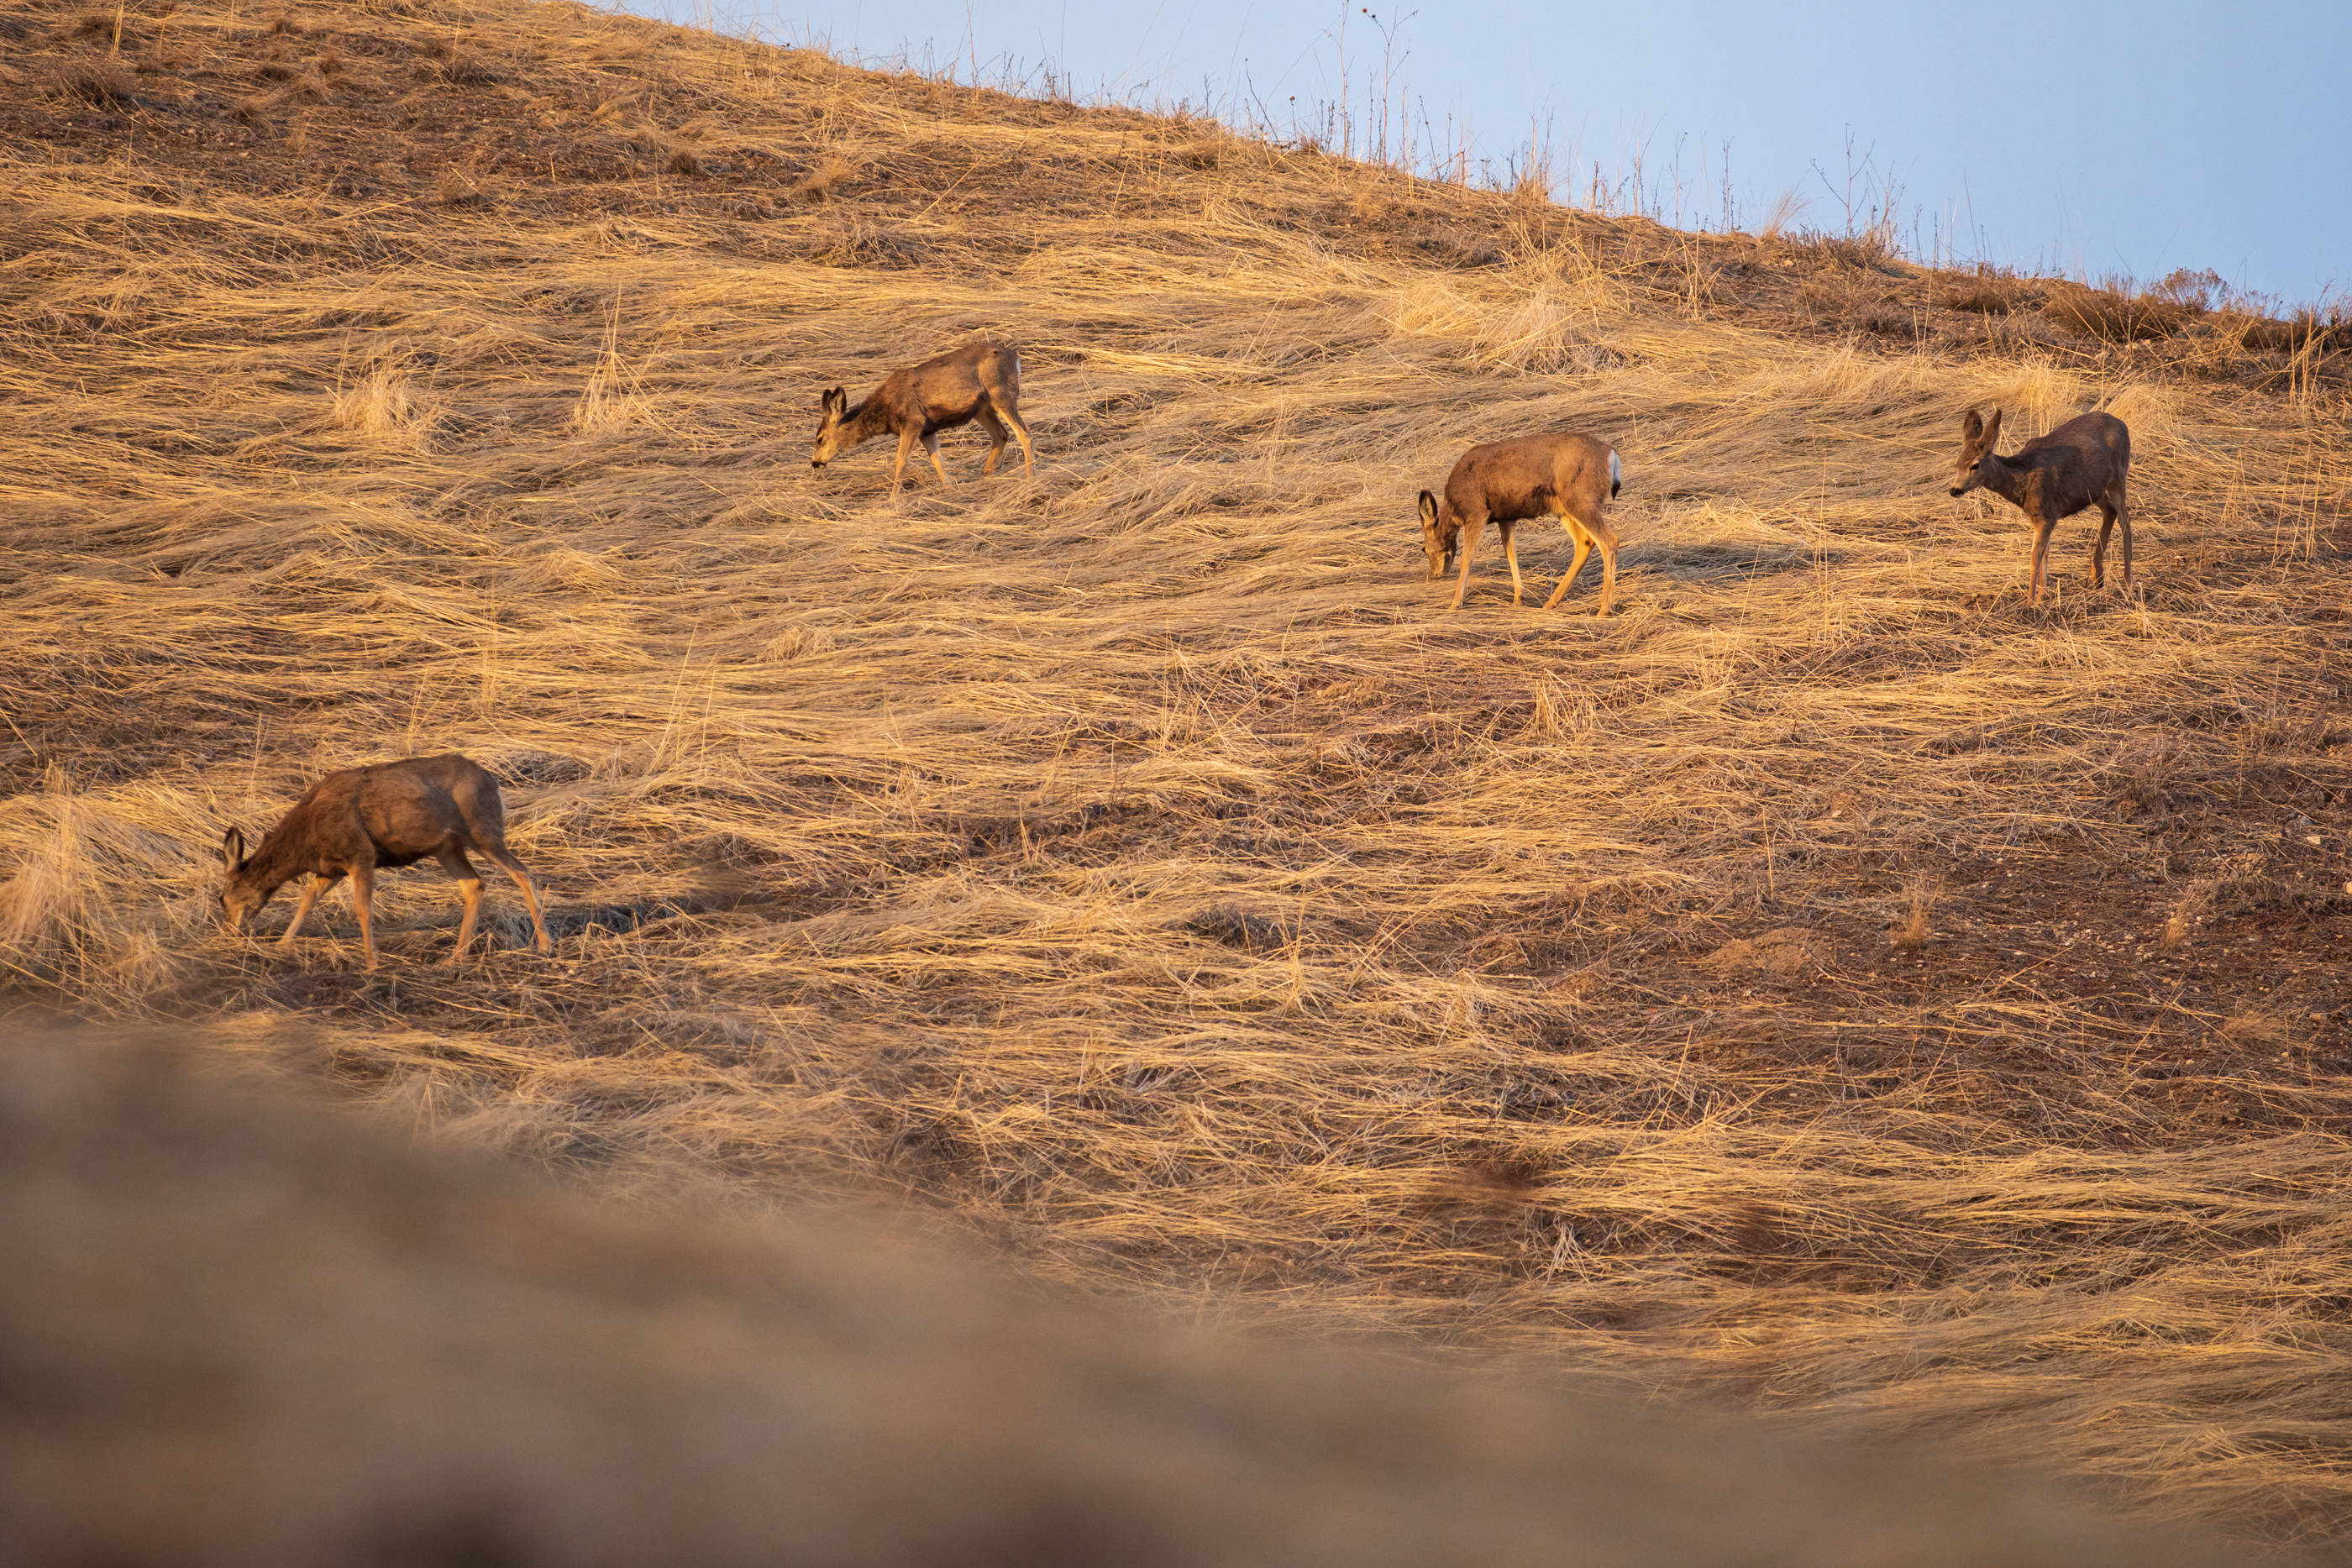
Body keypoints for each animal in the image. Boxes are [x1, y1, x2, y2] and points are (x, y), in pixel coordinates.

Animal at [217, 753, 552, 970]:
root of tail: (493, 782)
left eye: (221, 898)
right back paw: (455, 957)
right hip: (446, 848)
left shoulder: (360, 854)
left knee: (521, 871)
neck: (305, 838)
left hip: (482, 830)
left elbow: (363, 910)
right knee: (474, 884)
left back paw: (544, 944)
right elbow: (307, 901)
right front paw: (282, 945)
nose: (229, 930)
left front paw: (371, 962)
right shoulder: (330, 868)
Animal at [810, 341, 1036, 495]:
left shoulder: (913, 420)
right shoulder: (927, 429)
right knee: (1001, 435)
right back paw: (984, 476)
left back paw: (1030, 478)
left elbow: (901, 460)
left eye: (820, 438)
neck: (887, 410)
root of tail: (1016, 357)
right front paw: (949, 489)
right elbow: (937, 460)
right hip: (981, 407)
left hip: (999, 391)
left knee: (1023, 432)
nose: (815, 462)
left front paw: (893, 498)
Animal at [1419, 433, 1624, 615]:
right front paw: (1519, 598)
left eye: (1425, 549)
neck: (1454, 507)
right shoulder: (1506, 517)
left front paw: (1455, 603)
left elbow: (1467, 558)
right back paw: (1551, 603)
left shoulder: (1477, 512)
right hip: (1563, 509)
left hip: (1581, 500)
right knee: (1585, 543)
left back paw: (1605, 609)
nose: (1435, 574)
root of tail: (1612, 455)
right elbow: (1510, 553)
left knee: (1609, 540)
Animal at [1947, 407, 2132, 605]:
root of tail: (2122, 424)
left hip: (2118, 474)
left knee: (2125, 521)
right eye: (1956, 464)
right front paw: (2042, 598)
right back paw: (2097, 576)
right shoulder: (2043, 516)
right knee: (2110, 511)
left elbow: (2034, 559)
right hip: (2093, 489)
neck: (2022, 479)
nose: (1955, 490)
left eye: (1975, 465)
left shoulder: (2044, 517)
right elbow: (2045, 555)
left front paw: (2030, 602)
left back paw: (2127, 581)